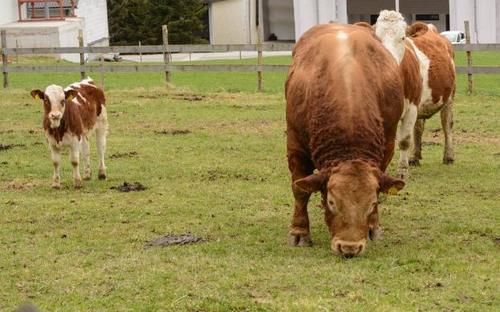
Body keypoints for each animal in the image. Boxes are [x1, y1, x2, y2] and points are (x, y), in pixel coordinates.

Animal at [286, 22, 406, 258]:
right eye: (332, 202)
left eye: (372, 203)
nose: (349, 248)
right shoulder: (295, 147)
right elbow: (300, 191)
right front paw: (300, 232)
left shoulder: (387, 145)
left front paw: (373, 227)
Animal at [376, 10, 456, 178]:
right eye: (377, 38)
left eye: (402, 38)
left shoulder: (411, 107)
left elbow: (404, 140)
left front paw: (402, 171)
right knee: (418, 127)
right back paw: (415, 157)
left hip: (449, 98)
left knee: (446, 124)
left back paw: (448, 156)